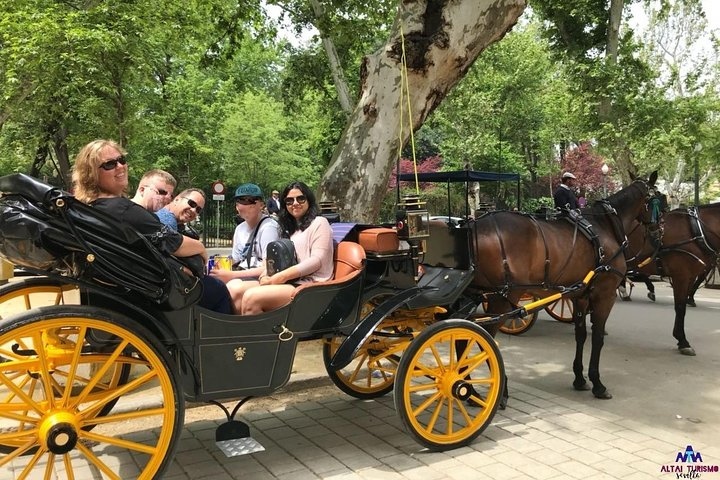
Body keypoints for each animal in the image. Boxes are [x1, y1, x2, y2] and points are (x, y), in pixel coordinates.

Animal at [466, 172, 660, 398]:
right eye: (659, 199)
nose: (658, 232)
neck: (604, 226)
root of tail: (476, 226)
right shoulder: (605, 294)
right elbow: (598, 337)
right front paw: (597, 383)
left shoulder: (581, 296)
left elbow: (581, 334)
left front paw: (579, 378)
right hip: (503, 297)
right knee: (481, 336)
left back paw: (470, 390)